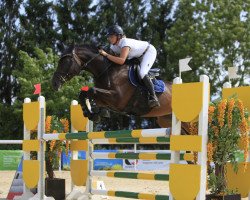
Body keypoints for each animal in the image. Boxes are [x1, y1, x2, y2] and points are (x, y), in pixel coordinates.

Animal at [52, 44, 189, 134]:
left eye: (65, 61)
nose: (54, 83)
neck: (106, 71)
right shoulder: (106, 99)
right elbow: (84, 93)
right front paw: (93, 113)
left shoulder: (118, 99)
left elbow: (91, 91)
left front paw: (92, 113)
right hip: (166, 120)